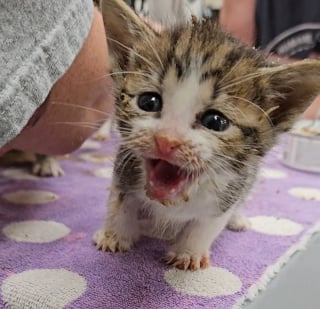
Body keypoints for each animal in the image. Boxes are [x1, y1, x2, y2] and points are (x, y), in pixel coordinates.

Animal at [93, 0, 320, 270]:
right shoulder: (125, 164)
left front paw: (188, 252)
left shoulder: (231, 189)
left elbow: (208, 224)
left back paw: (238, 219)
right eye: (148, 102)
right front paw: (114, 235)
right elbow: (120, 199)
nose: (166, 140)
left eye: (215, 121)